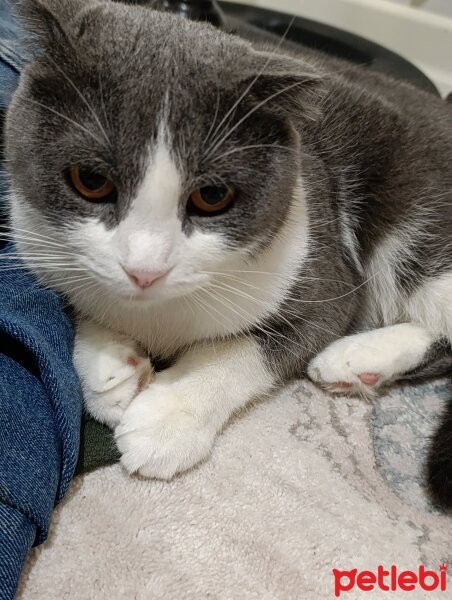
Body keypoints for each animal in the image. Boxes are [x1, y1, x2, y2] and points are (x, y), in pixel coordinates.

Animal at [3, 0, 452, 506]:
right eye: (91, 180)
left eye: (213, 196)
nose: (144, 270)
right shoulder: (40, 244)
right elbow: (82, 295)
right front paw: (111, 370)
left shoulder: (325, 273)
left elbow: (248, 349)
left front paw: (169, 416)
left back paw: (355, 354)